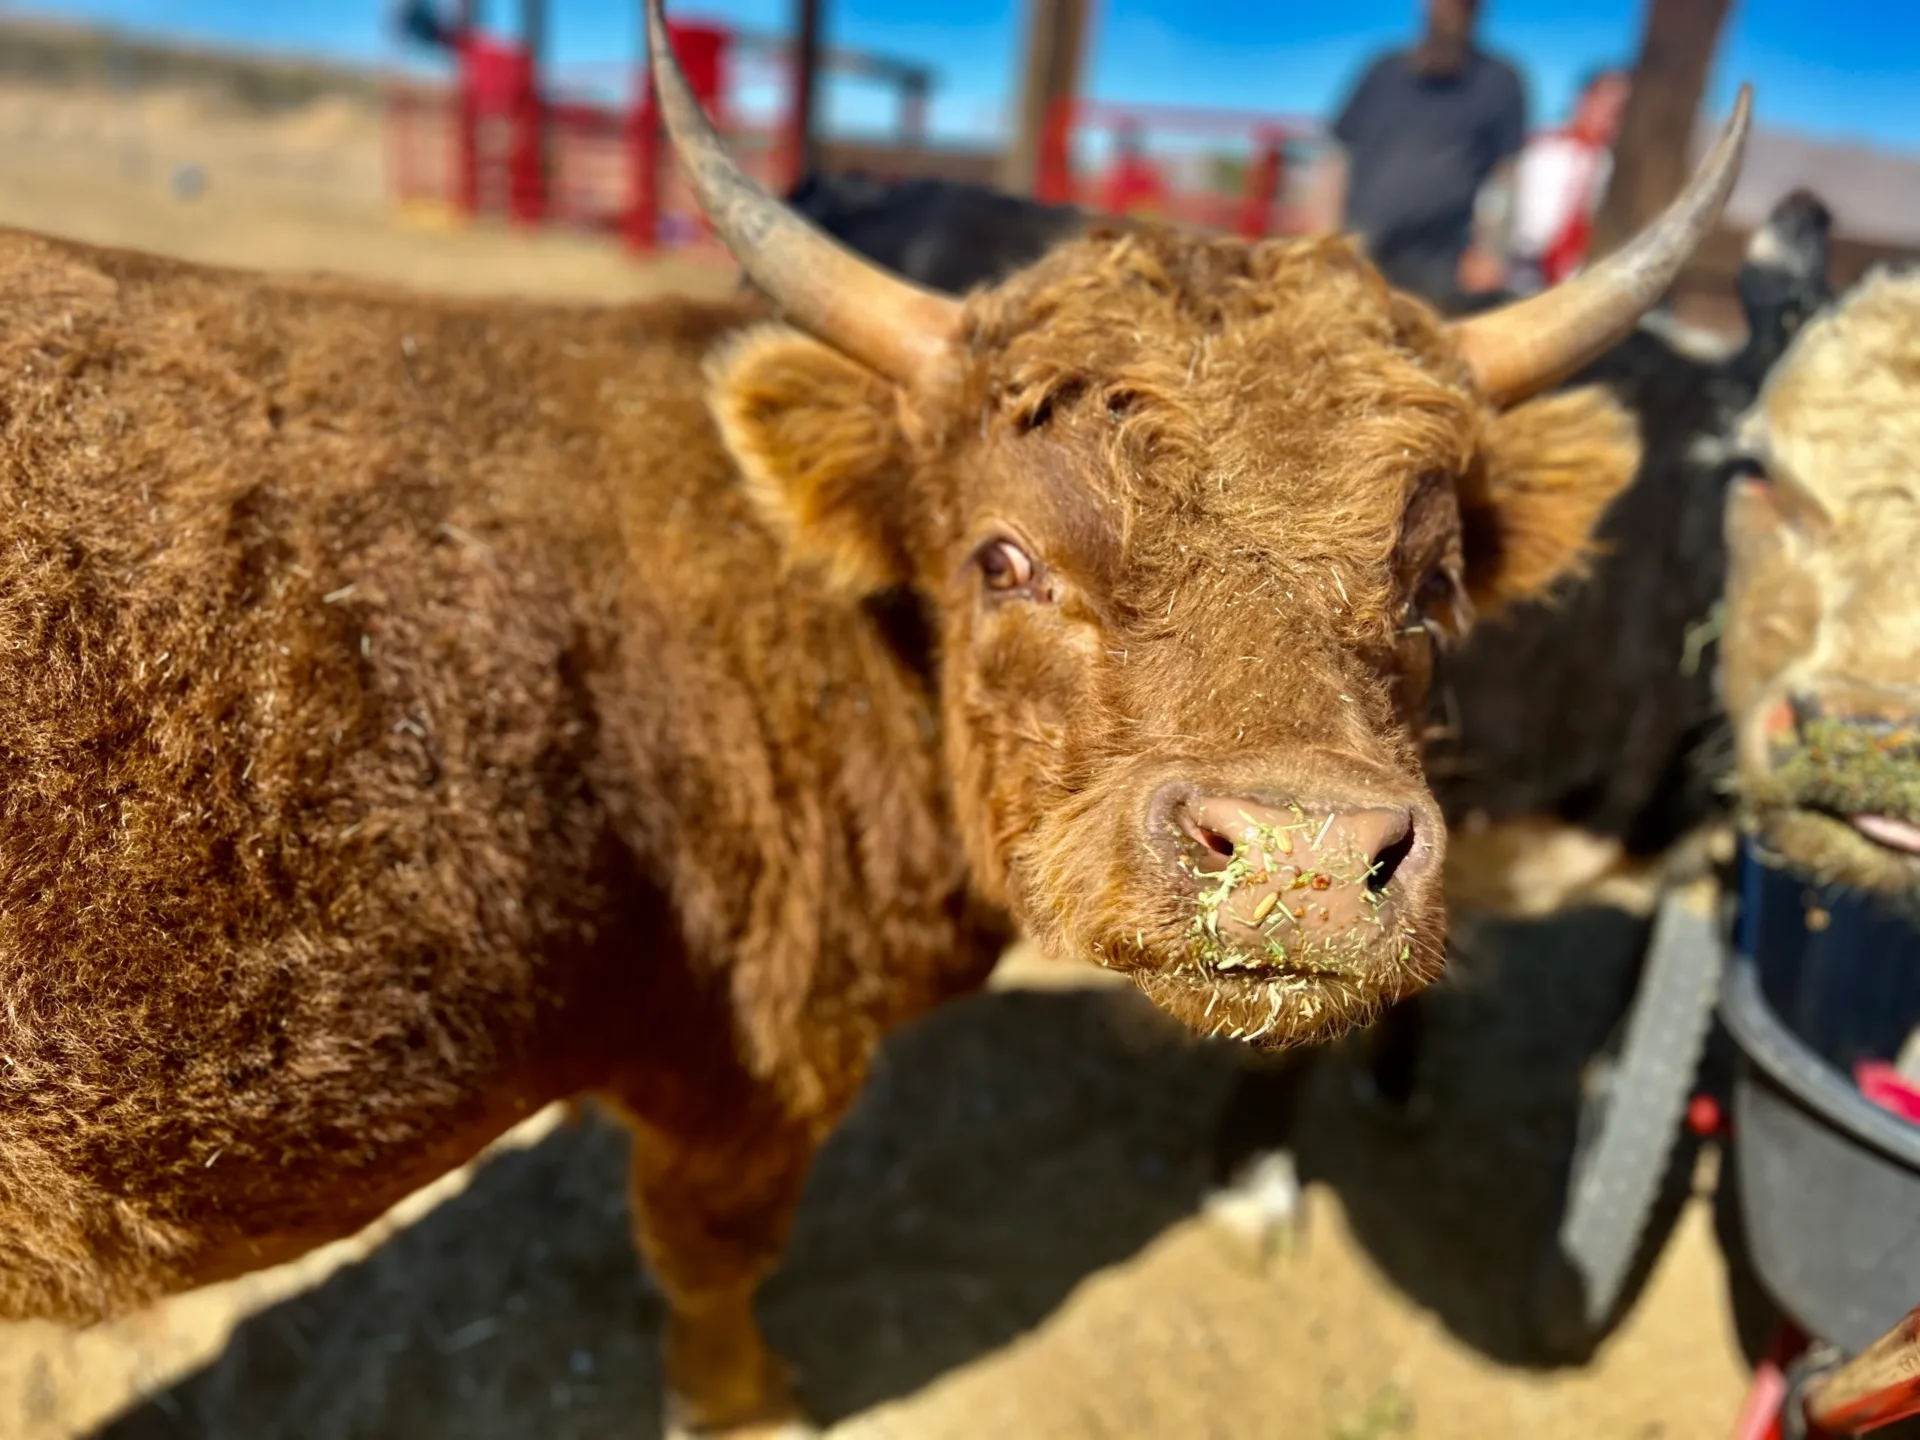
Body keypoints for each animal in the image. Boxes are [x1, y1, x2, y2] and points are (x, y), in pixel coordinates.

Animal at [0, 1, 1751, 1432]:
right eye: (1005, 557)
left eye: (1435, 587)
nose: (1305, 859)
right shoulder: (754, 1065)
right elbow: (713, 1263)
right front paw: (749, 1406)